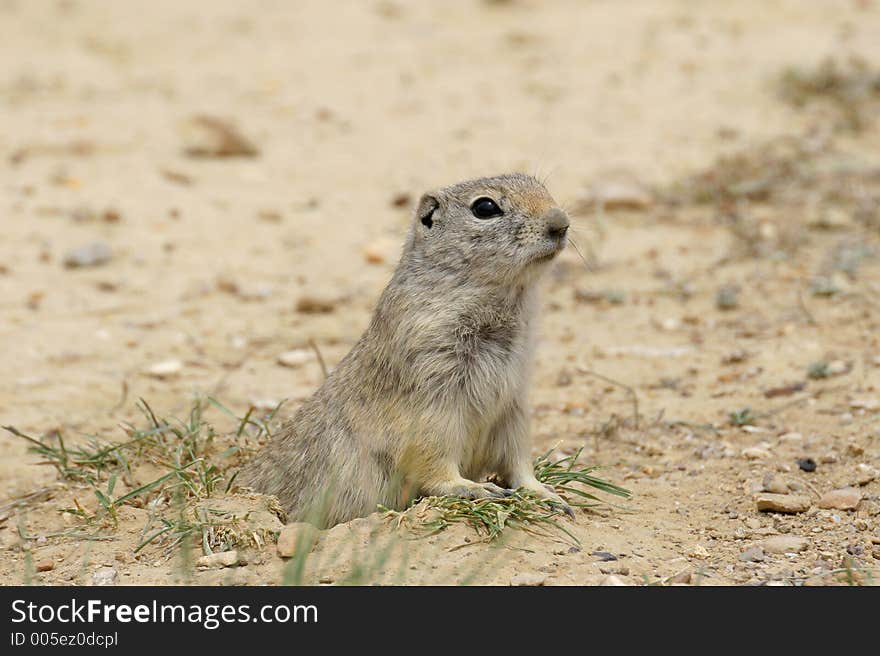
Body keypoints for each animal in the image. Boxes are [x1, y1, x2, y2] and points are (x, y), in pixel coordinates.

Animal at [242, 173, 572, 528]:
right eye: (485, 207)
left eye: (541, 186)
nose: (561, 223)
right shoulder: (432, 397)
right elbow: (433, 459)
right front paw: (474, 489)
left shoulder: (514, 402)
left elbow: (518, 460)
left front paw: (547, 496)